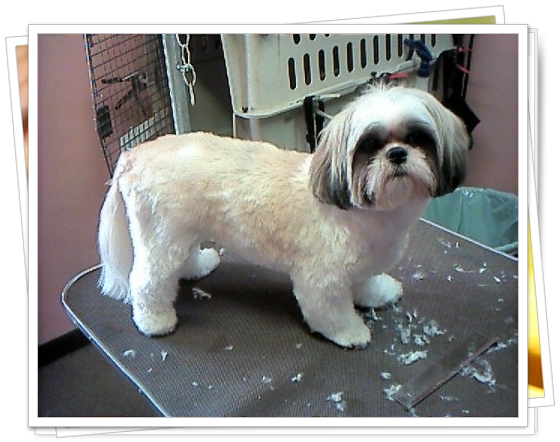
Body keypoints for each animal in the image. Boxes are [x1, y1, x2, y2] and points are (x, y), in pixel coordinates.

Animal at [97, 83, 471, 348]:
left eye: (417, 138)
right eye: (369, 145)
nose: (396, 153)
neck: (370, 214)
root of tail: (133, 154)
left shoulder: (362, 262)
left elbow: (365, 282)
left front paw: (377, 293)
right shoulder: (322, 276)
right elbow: (328, 311)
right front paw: (350, 333)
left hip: (180, 231)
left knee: (181, 259)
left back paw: (199, 266)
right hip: (160, 236)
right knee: (146, 280)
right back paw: (155, 321)